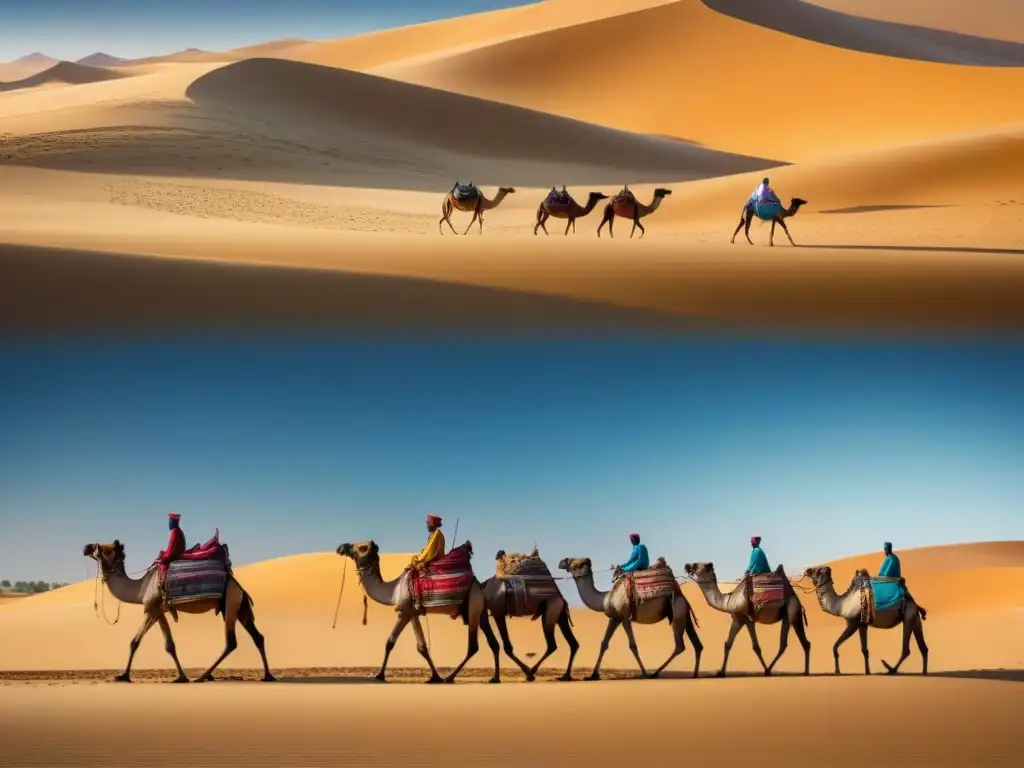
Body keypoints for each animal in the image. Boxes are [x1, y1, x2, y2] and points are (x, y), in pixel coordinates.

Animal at [82, 540, 276, 684]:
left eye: (102, 548)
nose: (86, 547)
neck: (140, 589)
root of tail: (238, 586)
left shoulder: (153, 609)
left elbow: (160, 644)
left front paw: (181, 677)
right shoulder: (156, 612)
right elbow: (143, 642)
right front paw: (123, 676)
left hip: (230, 602)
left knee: (231, 642)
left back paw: (202, 676)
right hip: (240, 607)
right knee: (257, 637)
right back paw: (268, 676)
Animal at [335, 540, 499, 684]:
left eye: (362, 547)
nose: (341, 547)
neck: (393, 591)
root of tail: (478, 585)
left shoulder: (405, 612)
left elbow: (390, 642)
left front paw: (380, 675)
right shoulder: (413, 614)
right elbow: (422, 647)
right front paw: (434, 677)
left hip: (473, 607)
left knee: (473, 646)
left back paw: (450, 677)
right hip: (481, 611)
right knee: (493, 642)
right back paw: (495, 678)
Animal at [479, 548, 577, 684]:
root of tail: (562, 598)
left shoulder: (497, 611)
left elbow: (507, 646)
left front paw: (497, 678)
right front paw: (496, 677)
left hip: (550, 612)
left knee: (552, 644)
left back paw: (533, 673)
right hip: (560, 615)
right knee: (573, 643)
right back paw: (565, 676)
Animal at [557, 561, 700, 679]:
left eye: (577, 564)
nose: (561, 563)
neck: (605, 598)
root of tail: (682, 596)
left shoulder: (625, 618)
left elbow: (633, 645)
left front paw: (644, 673)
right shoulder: (615, 618)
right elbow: (604, 644)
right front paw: (593, 675)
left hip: (678, 612)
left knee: (680, 646)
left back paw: (655, 673)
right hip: (684, 614)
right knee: (697, 644)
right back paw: (694, 674)